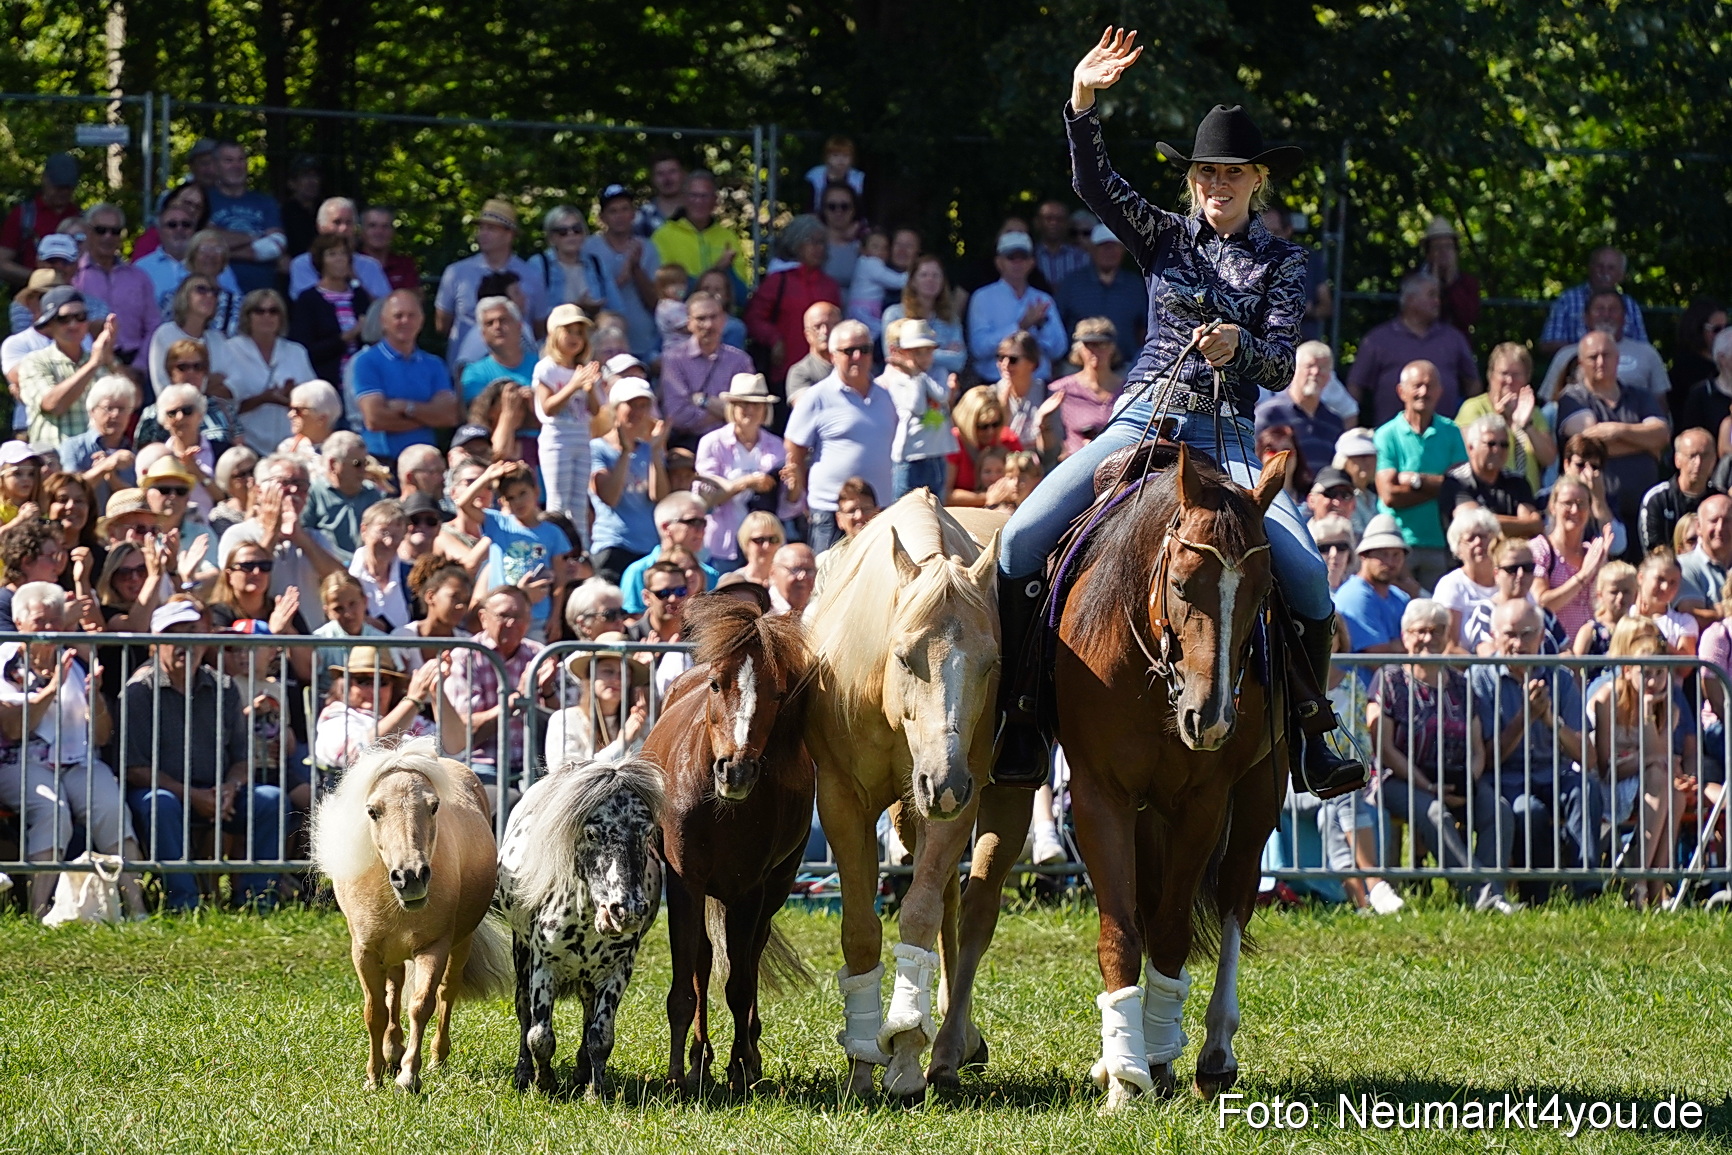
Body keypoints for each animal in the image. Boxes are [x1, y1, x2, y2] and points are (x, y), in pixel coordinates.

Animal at [309, 736, 511, 1092]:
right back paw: (393, 1050)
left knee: (446, 992)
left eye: (433, 806)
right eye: (373, 811)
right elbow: (375, 1011)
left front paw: (408, 1075)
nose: (411, 876)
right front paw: (374, 1076)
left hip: (460, 944)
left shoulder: (434, 947)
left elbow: (421, 1005)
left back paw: (435, 1059)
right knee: (394, 990)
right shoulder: (365, 952)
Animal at [496, 756, 664, 1098]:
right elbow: (539, 1036)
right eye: (592, 834)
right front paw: (544, 1084)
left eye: (646, 833)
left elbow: (600, 1037)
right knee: (523, 1012)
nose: (626, 910)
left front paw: (594, 1092)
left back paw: (581, 1072)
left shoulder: (617, 973)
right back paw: (524, 1074)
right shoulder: (543, 967)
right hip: (522, 954)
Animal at [643, 593, 816, 1094]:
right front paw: (677, 1074)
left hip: (775, 889)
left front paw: (742, 1066)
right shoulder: (684, 881)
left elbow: (740, 985)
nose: (735, 770)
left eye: (778, 693)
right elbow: (686, 985)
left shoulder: (750, 891)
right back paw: (700, 1057)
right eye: (717, 685)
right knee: (702, 961)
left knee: (751, 958)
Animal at [805, 488, 1001, 1099]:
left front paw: (909, 1053)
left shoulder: (957, 803)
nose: (944, 780)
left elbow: (918, 914)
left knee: (951, 905)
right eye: (903, 656)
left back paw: (953, 1040)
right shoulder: (842, 802)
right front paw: (863, 1060)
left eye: (991, 663)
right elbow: (861, 932)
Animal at [1056, 442, 1290, 1110]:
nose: (1210, 720)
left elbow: (1171, 931)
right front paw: (1125, 1073)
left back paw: (1210, 1053)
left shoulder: (1203, 803)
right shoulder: (1101, 796)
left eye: (1261, 594)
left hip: (1258, 795)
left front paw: (1151, 1060)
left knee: (1235, 897)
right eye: (1184, 585)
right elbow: (1123, 930)